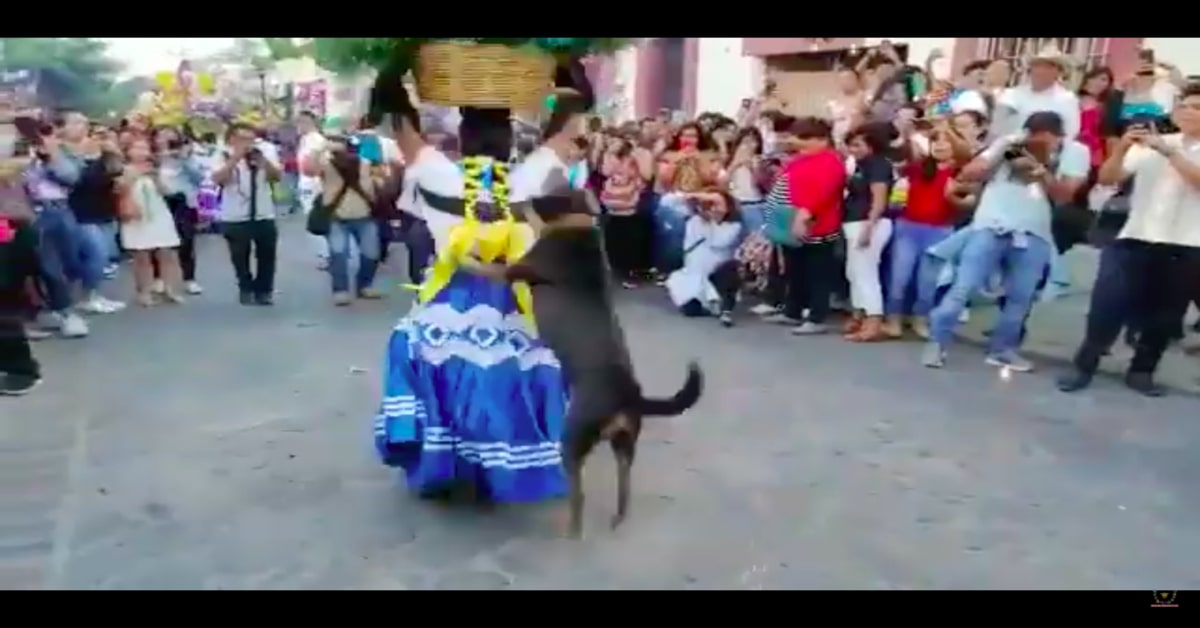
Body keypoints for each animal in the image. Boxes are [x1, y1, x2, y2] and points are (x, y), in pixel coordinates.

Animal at [460, 188, 700, 540]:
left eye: (530, 198)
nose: (500, 206)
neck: (577, 222)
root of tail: (629, 396)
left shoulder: (514, 270)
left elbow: (487, 266)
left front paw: (463, 259)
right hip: (625, 443)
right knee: (624, 482)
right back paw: (617, 519)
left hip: (573, 438)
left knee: (579, 494)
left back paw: (572, 530)